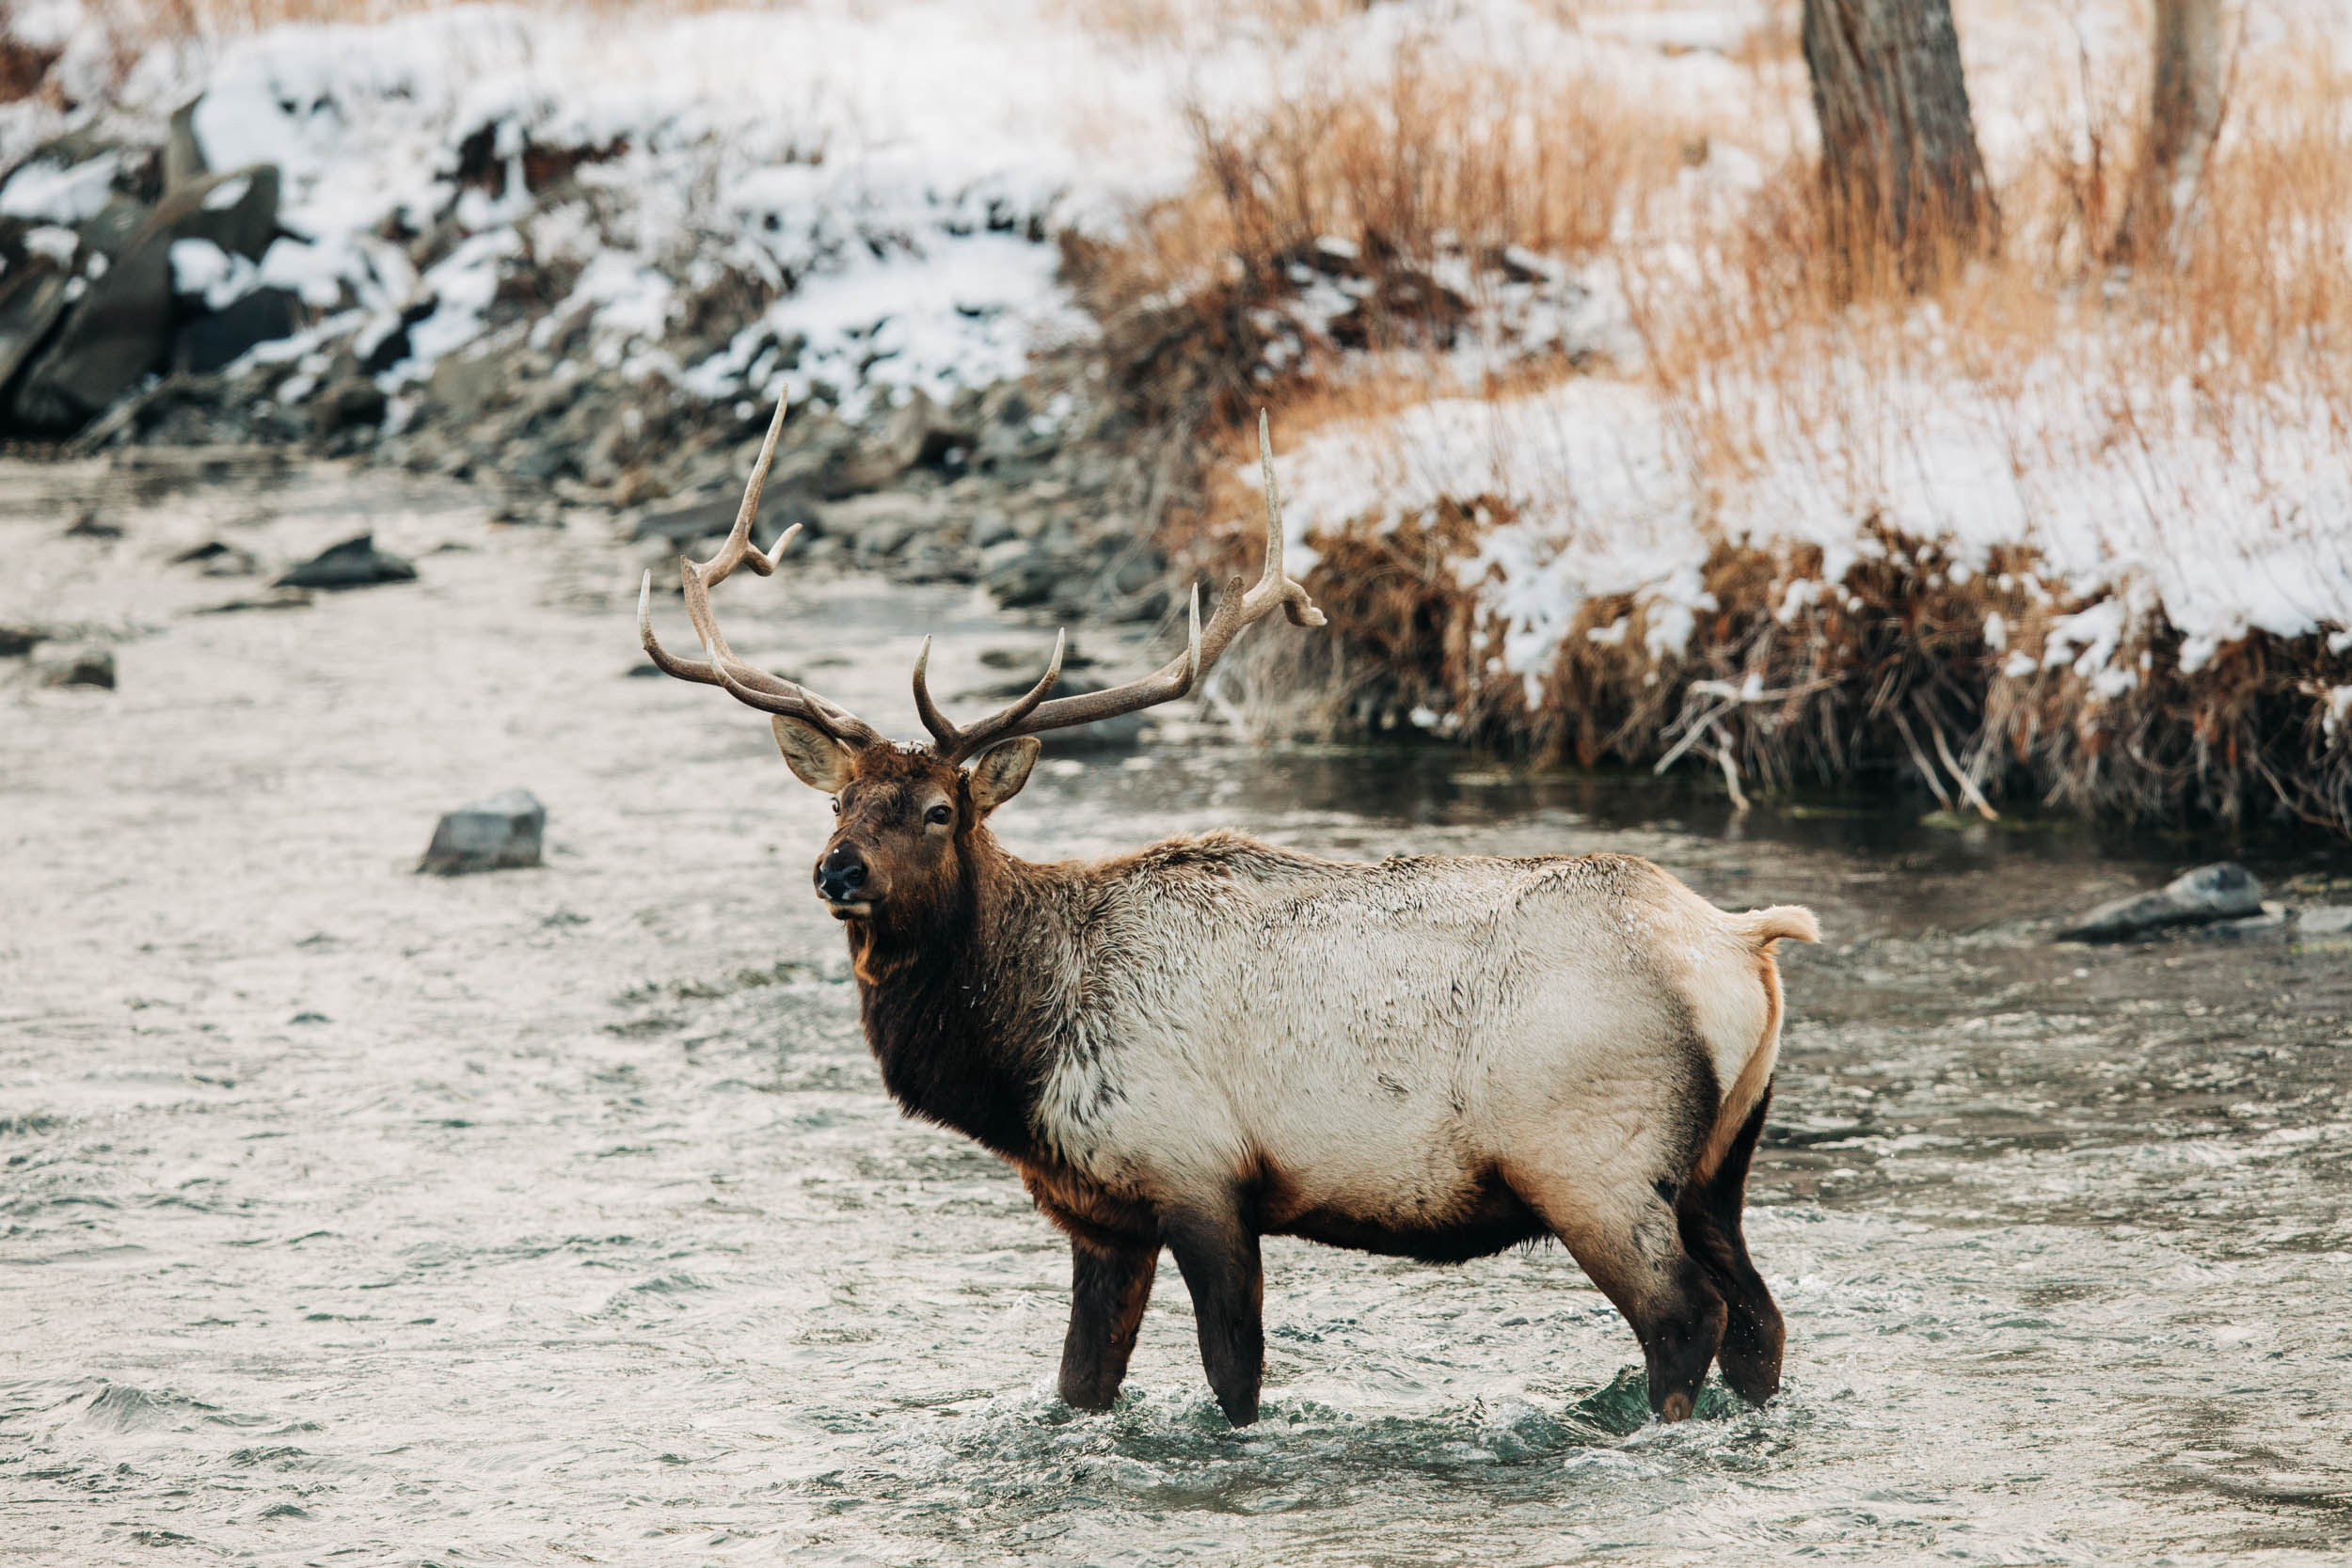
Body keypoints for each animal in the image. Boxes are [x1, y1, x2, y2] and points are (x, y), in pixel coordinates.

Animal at [644, 402, 1816, 1419]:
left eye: (938, 810)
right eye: (839, 799)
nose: (837, 869)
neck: (1019, 1048)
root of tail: (1741, 943)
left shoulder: (1198, 1172)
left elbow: (1232, 1372)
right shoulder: (1100, 1210)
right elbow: (1080, 1382)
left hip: (1593, 1161)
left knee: (1686, 1316)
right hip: (1716, 1169)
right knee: (1759, 1320)